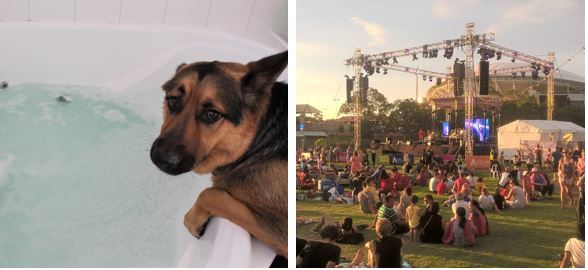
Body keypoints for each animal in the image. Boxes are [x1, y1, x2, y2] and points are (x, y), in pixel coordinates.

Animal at [150, 51, 288, 264]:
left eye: (212, 114)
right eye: (173, 101)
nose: (161, 159)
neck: (258, 140)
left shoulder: (282, 230)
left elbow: (212, 194)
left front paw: (193, 220)